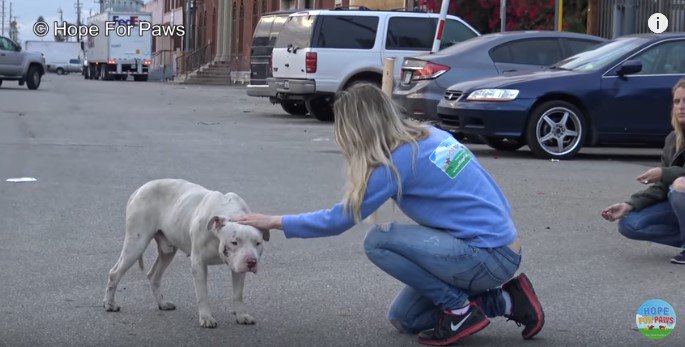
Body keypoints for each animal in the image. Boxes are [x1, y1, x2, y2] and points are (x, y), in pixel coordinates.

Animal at [101, 179, 268, 328]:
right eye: (234, 242)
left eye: (258, 243)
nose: (251, 261)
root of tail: (139, 190)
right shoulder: (198, 264)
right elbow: (202, 295)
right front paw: (206, 317)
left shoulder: (238, 266)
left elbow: (238, 294)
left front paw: (241, 315)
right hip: (136, 244)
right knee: (115, 273)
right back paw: (110, 304)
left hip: (167, 251)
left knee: (154, 276)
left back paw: (162, 303)